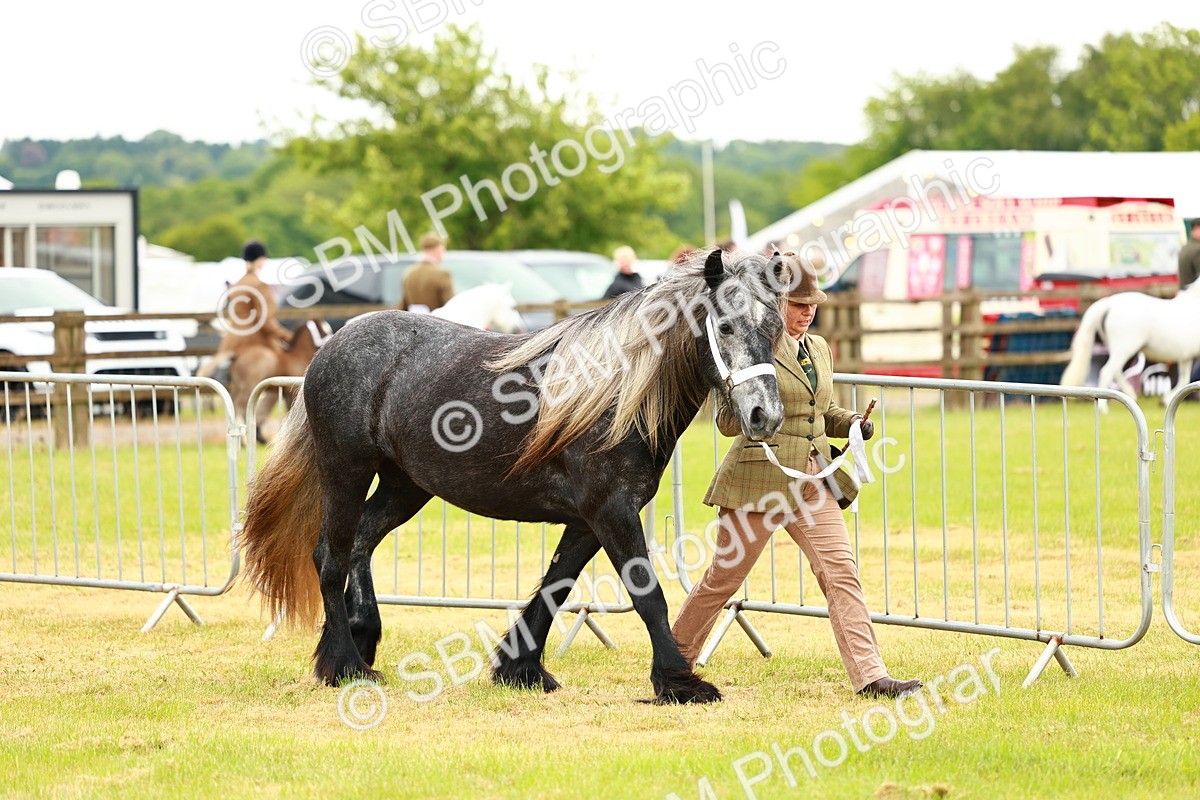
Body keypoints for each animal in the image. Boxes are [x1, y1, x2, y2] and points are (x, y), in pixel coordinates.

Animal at [239, 249, 789, 703]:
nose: (764, 415)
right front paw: (679, 682)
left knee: (359, 544)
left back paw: (363, 638)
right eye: (726, 327)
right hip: (346, 472)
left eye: (775, 328)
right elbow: (647, 594)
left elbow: (555, 587)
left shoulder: (589, 520)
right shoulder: (611, 512)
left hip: (405, 487)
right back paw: (345, 665)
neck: (613, 396)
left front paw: (520, 669)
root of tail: (334, 345)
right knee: (328, 558)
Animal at [1060, 282, 1200, 408]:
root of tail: (1109, 303)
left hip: (1121, 351)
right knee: (1107, 371)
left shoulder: (1185, 356)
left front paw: (1166, 400)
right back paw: (1103, 407)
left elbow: (1184, 379)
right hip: (1124, 349)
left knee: (1116, 371)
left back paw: (1130, 395)